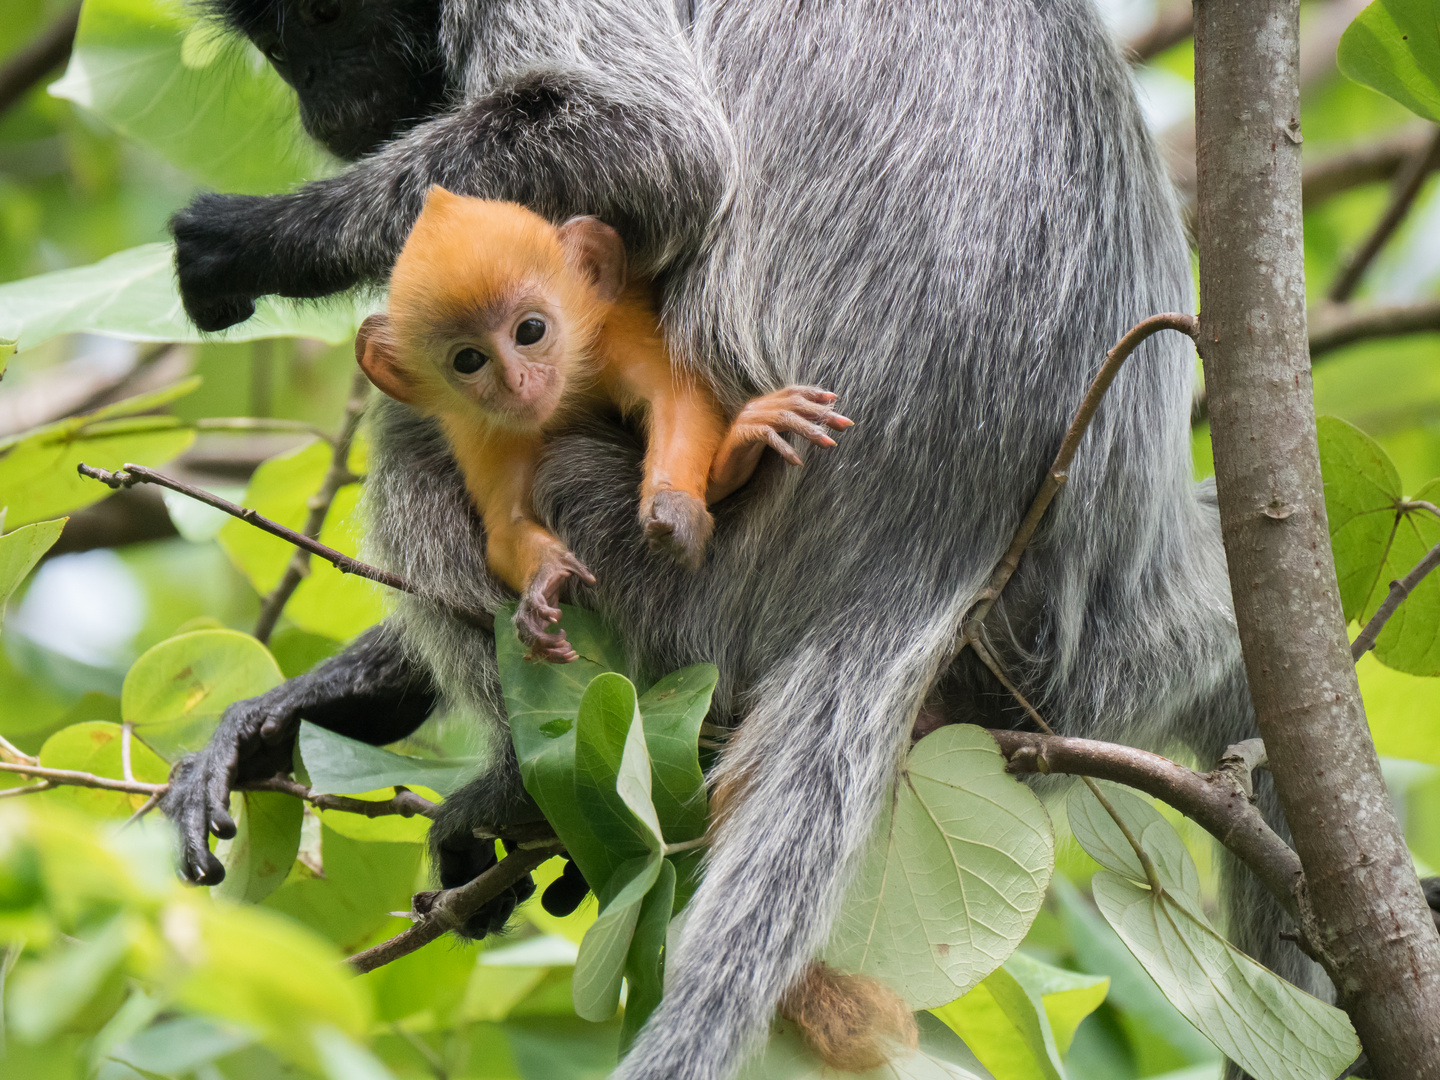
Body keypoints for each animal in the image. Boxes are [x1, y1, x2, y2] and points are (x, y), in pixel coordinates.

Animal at [355, 191, 846, 665]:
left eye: (529, 330)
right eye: (469, 360)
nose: (517, 381)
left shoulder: (613, 330)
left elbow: (678, 402)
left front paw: (675, 504)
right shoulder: (478, 423)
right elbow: (507, 526)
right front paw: (543, 580)